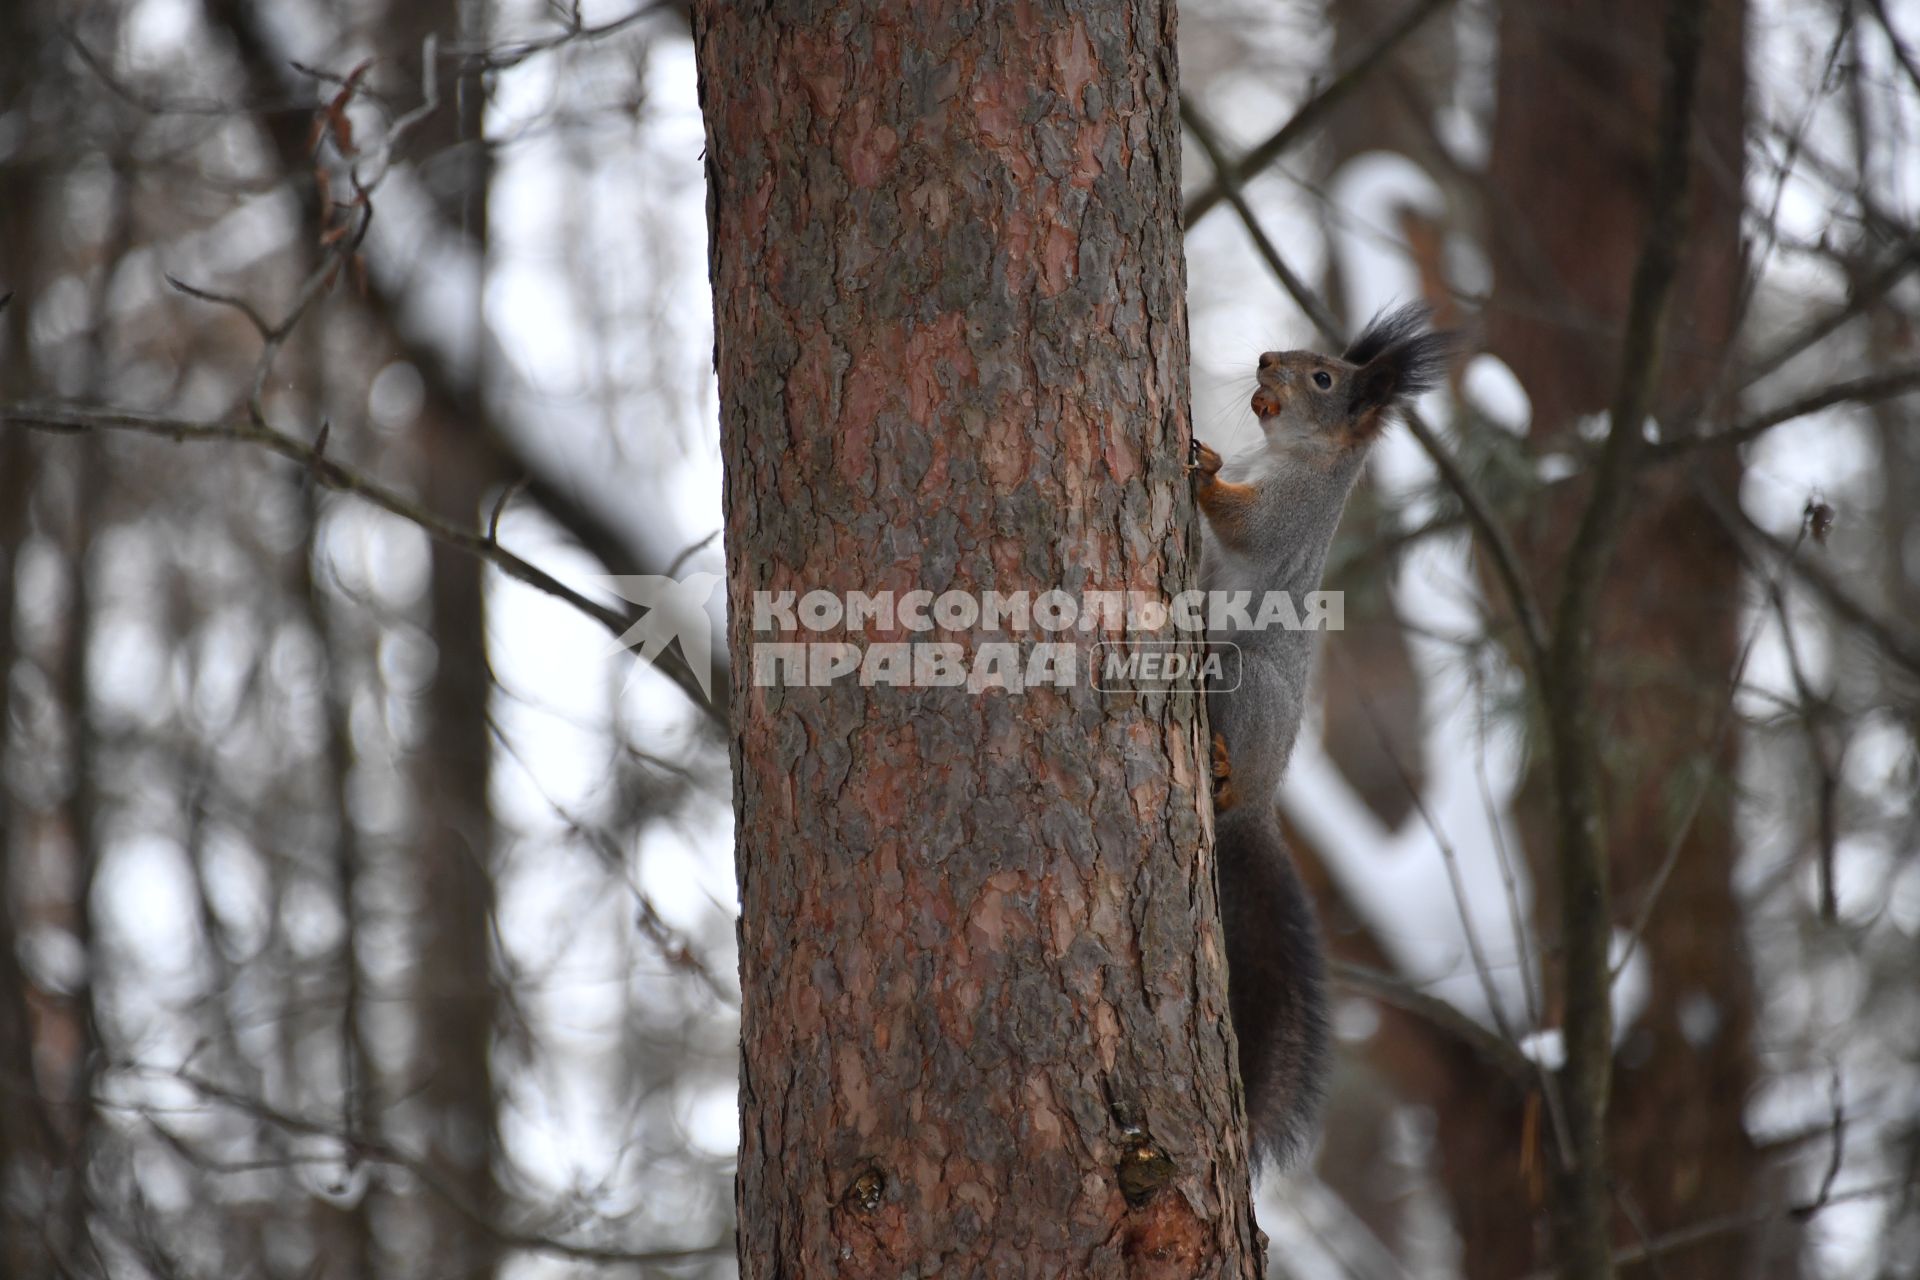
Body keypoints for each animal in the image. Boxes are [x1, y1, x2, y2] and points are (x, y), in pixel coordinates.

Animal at [1182, 305, 1451, 1166]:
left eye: (1325, 377)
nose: (1267, 359)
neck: (1291, 456)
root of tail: (1259, 805)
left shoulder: (1289, 518)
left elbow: (1247, 526)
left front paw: (1202, 466)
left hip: (1245, 680)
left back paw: (1223, 768)